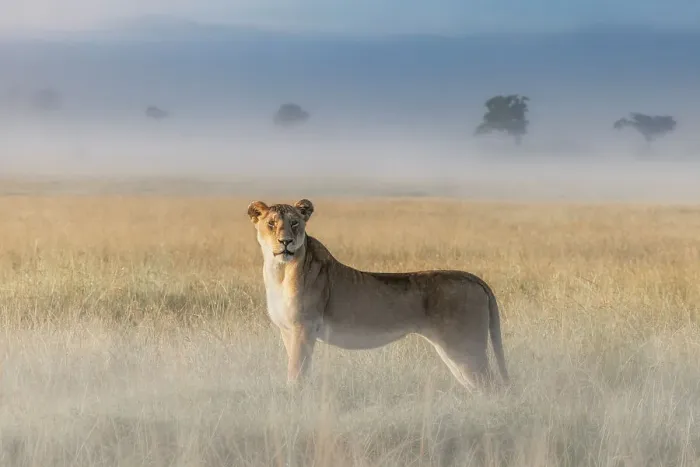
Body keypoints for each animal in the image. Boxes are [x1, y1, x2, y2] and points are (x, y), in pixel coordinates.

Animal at [247, 198, 509, 391]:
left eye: (294, 223)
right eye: (271, 224)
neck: (279, 270)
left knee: (493, 387)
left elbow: (297, 371)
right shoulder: (288, 330)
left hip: (464, 346)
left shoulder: (305, 327)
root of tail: (473, 277)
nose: (286, 242)